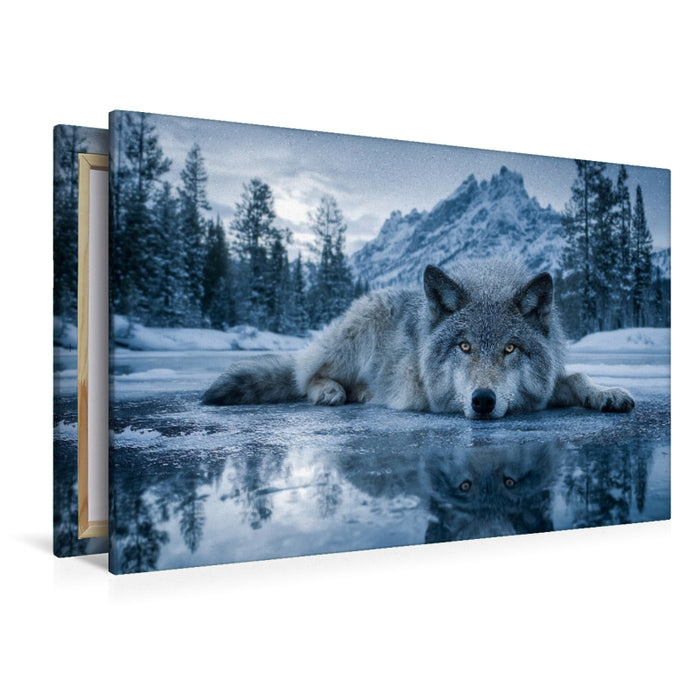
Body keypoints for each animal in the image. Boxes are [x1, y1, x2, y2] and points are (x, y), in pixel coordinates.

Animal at [202, 260, 635, 418]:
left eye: (510, 348)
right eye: (464, 347)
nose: (482, 400)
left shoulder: (543, 386)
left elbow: (575, 377)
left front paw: (606, 392)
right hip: (353, 336)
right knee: (304, 374)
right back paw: (330, 391)